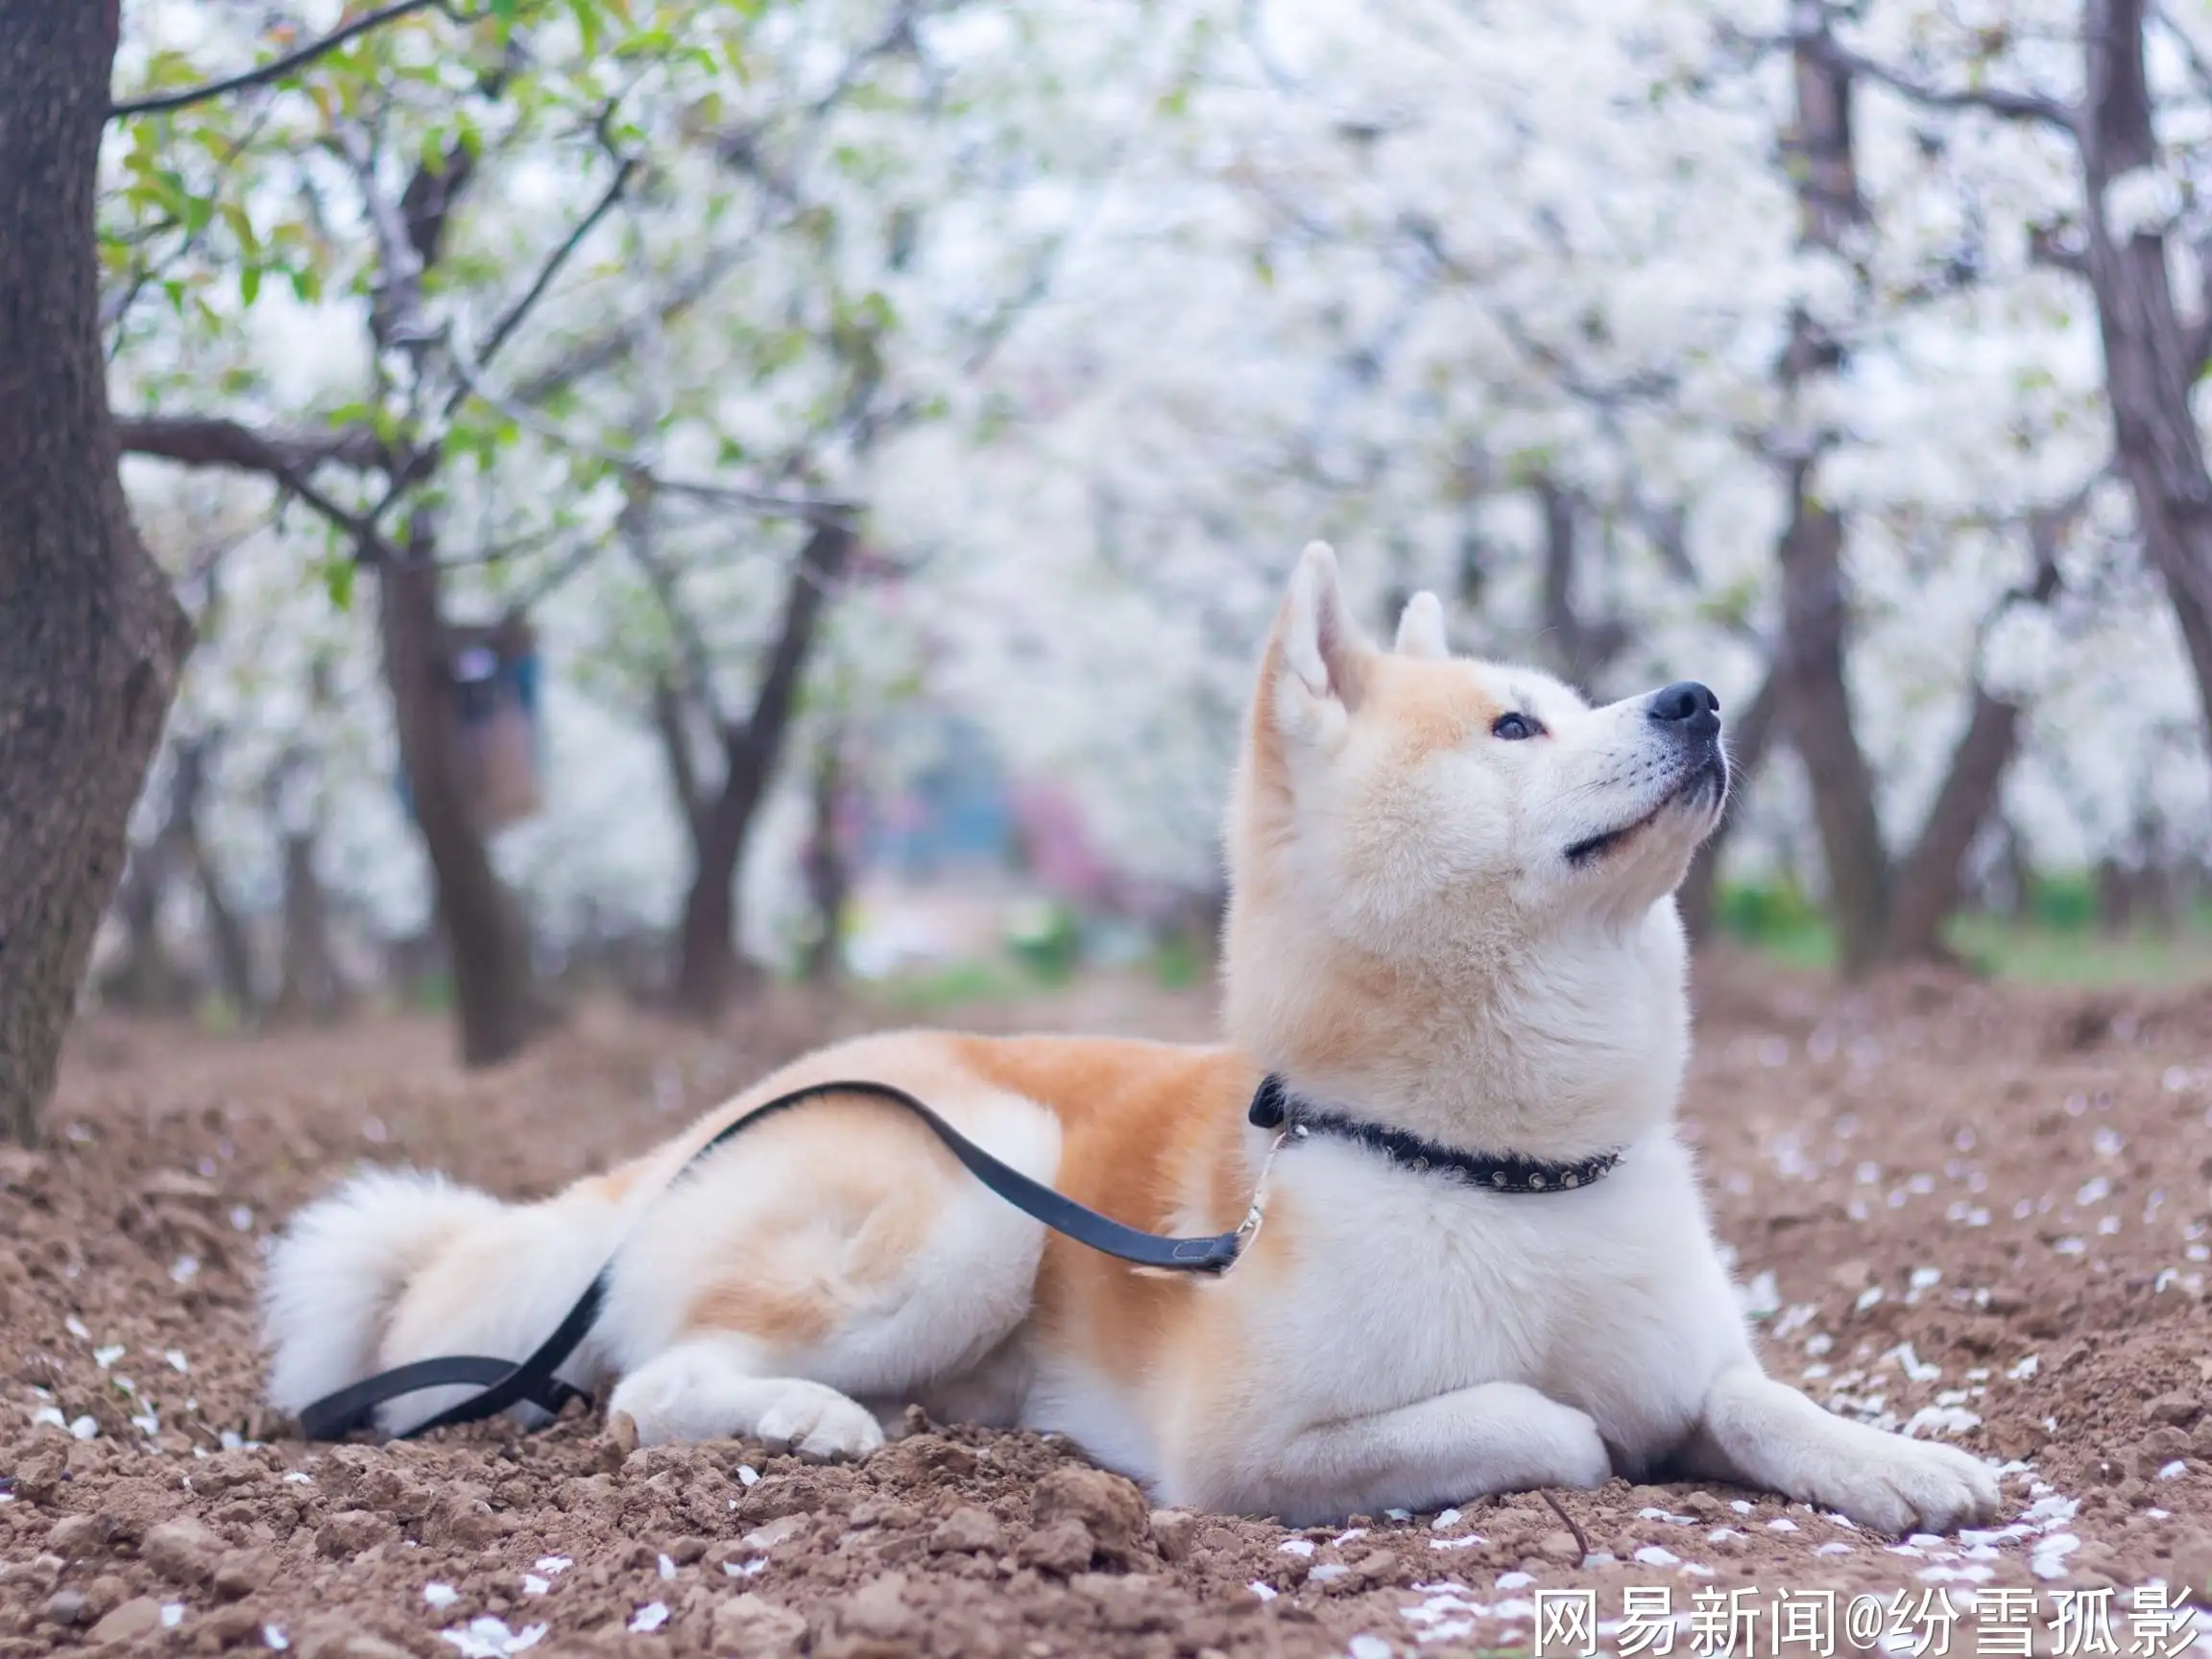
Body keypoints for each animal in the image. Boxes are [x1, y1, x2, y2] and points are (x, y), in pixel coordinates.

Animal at [263, 541, 2008, 1530]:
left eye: (1575, 696)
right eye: (1516, 723)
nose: (1697, 698)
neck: (1503, 1171)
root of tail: (706, 1123)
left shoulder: (1686, 1347)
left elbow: (1746, 1395)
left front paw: (1890, 1458)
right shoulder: (1245, 1448)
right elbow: (1551, 1423)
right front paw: (1599, 1439)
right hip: (976, 1187)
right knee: (649, 1383)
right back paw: (808, 1420)